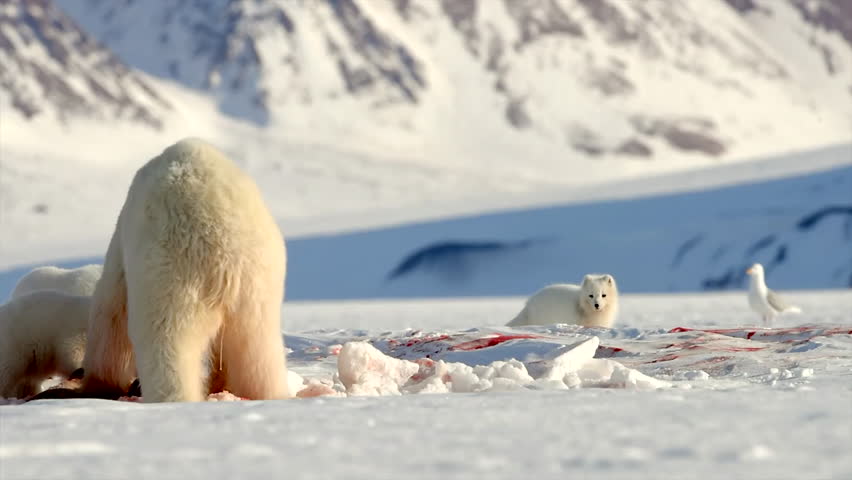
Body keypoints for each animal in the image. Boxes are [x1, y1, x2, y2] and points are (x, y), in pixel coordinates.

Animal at [80, 137, 289, 403]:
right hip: (257, 286)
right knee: (258, 352)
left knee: (166, 343)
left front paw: (99, 383)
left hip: (171, 276)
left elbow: (110, 314)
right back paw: (269, 394)